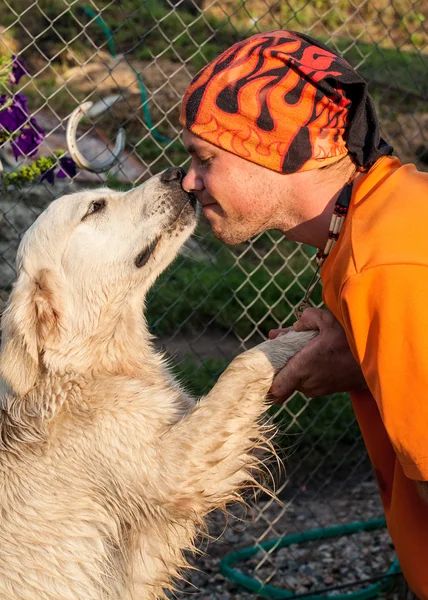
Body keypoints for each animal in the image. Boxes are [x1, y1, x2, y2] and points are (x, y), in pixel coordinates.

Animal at [0, 168, 314, 600]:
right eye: (95, 207)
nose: (175, 172)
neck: (85, 365)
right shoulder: (172, 471)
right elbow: (245, 362)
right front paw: (305, 337)